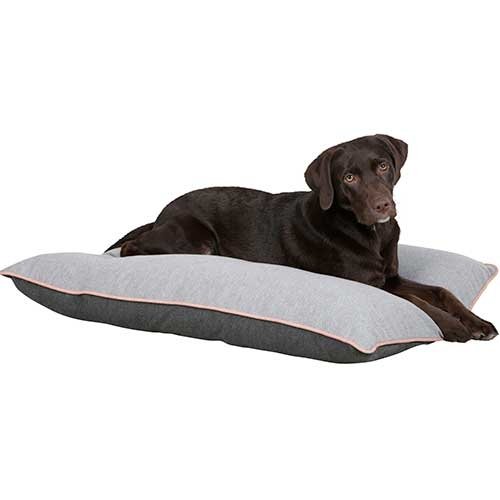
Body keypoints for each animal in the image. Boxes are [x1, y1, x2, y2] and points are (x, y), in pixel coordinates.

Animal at [107, 134, 497, 342]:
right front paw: (453, 328)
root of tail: (162, 212)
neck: (371, 232)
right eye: (349, 177)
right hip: (194, 240)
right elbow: (418, 303)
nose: (383, 205)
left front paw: (478, 323)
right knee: (129, 248)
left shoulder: (391, 277)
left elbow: (441, 292)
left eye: (384, 166)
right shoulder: (370, 284)